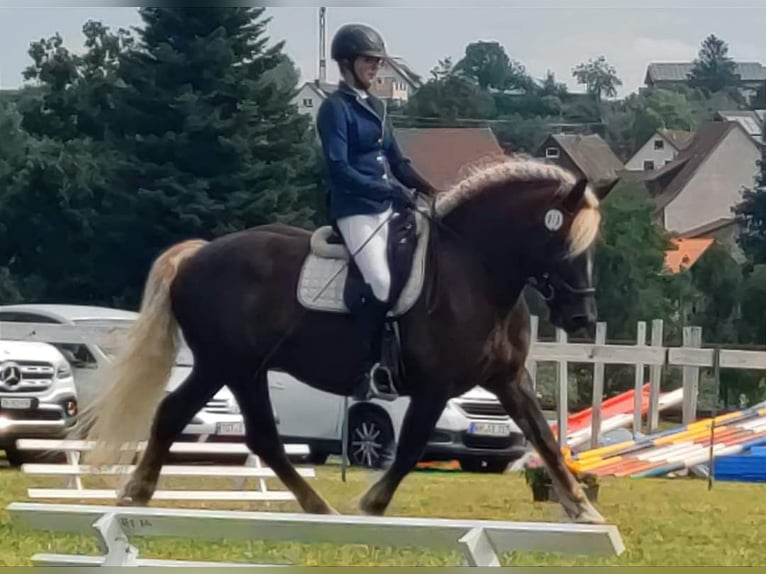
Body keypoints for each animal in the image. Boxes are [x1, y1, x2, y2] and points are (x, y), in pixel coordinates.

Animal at [76, 158, 616, 528]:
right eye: (563, 243)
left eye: (592, 249)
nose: (582, 317)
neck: (476, 271)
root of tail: (198, 255)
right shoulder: (435, 386)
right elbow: (410, 447)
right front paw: (371, 503)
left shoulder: (507, 380)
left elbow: (544, 437)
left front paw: (582, 508)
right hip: (225, 364)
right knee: (184, 417)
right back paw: (138, 492)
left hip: (241, 370)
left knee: (251, 434)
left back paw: (314, 506)